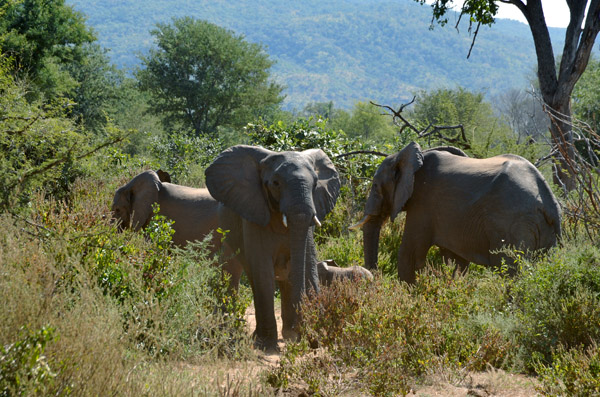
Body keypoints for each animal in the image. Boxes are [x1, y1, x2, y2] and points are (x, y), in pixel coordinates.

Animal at [204, 144, 340, 348]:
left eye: (316, 184)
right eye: (275, 183)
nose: (304, 334)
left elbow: (304, 266)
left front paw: (306, 336)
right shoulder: (254, 216)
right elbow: (263, 271)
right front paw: (266, 344)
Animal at [352, 141, 564, 284]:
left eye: (375, 185)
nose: (374, 278)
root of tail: (550, 202)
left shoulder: (423, 203)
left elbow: (410, 252)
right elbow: (456, 261)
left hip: (512, 224)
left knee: (511, 271)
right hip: (543, 230)